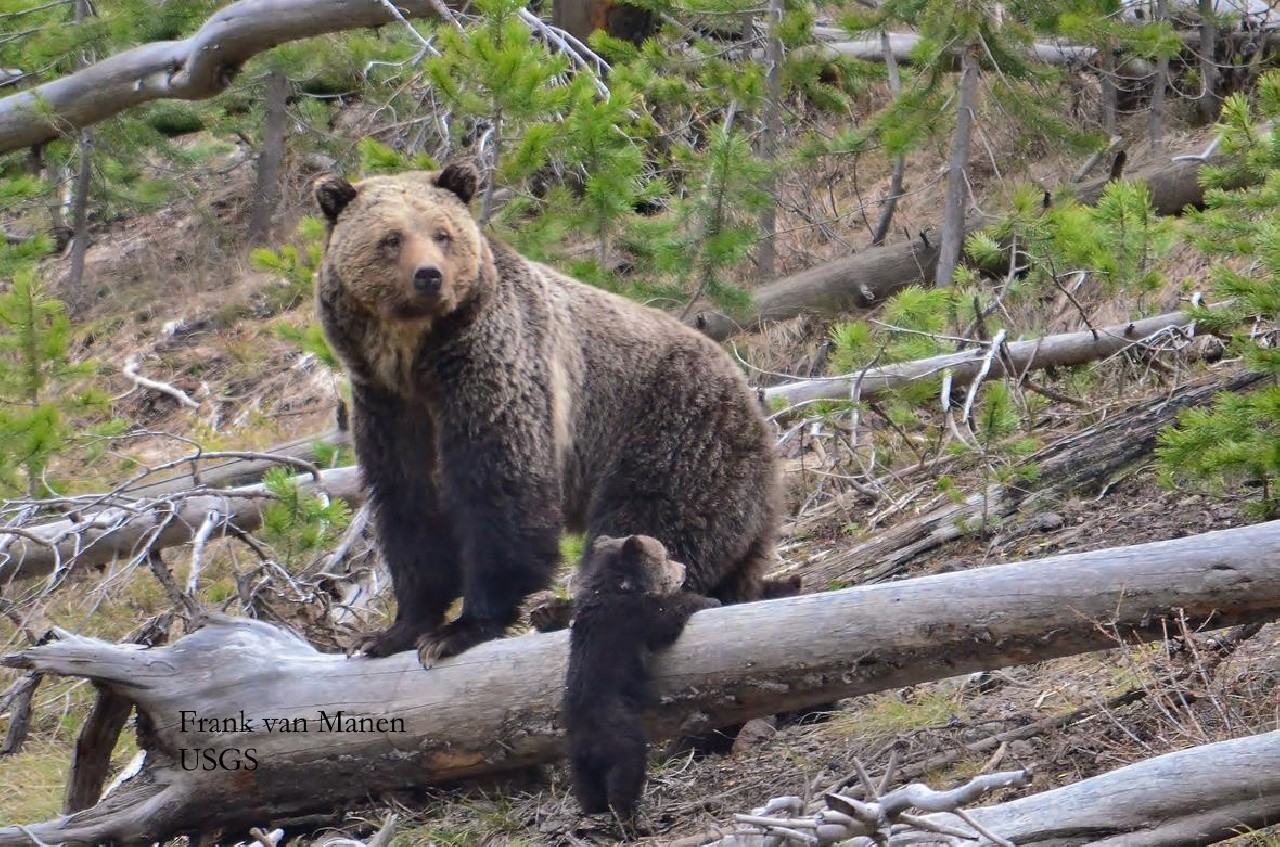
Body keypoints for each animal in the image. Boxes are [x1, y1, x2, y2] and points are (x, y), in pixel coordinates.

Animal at [309, 163, 778, 670]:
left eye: (442, 233)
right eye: (391, 238)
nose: (429, 276)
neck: (415, 359)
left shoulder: (493, 372)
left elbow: (500, 491)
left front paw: (460, 629)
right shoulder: (387, 406)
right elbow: (408, 506)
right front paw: (391, 632)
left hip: (674, 431)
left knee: (652, 522)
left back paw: (568, 607)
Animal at [563, 537, 716, 823]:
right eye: (665, 556)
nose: (683, 567)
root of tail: (588, 743)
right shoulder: (635, 616)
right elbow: (667, 618)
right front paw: (709, 599)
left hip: (577, 761)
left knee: (586, 788)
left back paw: (594, 809)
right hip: (620, 736)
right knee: (626, 773)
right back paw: (630, 816)